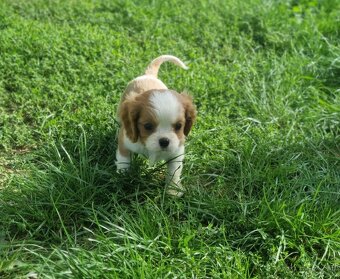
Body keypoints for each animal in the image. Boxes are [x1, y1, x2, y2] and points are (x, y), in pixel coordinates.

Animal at [115, 55, 197, 197]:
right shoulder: (125, 142)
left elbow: (174, 172)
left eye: (179, 126)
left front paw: (173, 190)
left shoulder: (177, 151)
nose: (164, 141)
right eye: (147, 126)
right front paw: (122, 179)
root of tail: (149, 75)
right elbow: (123, 161)